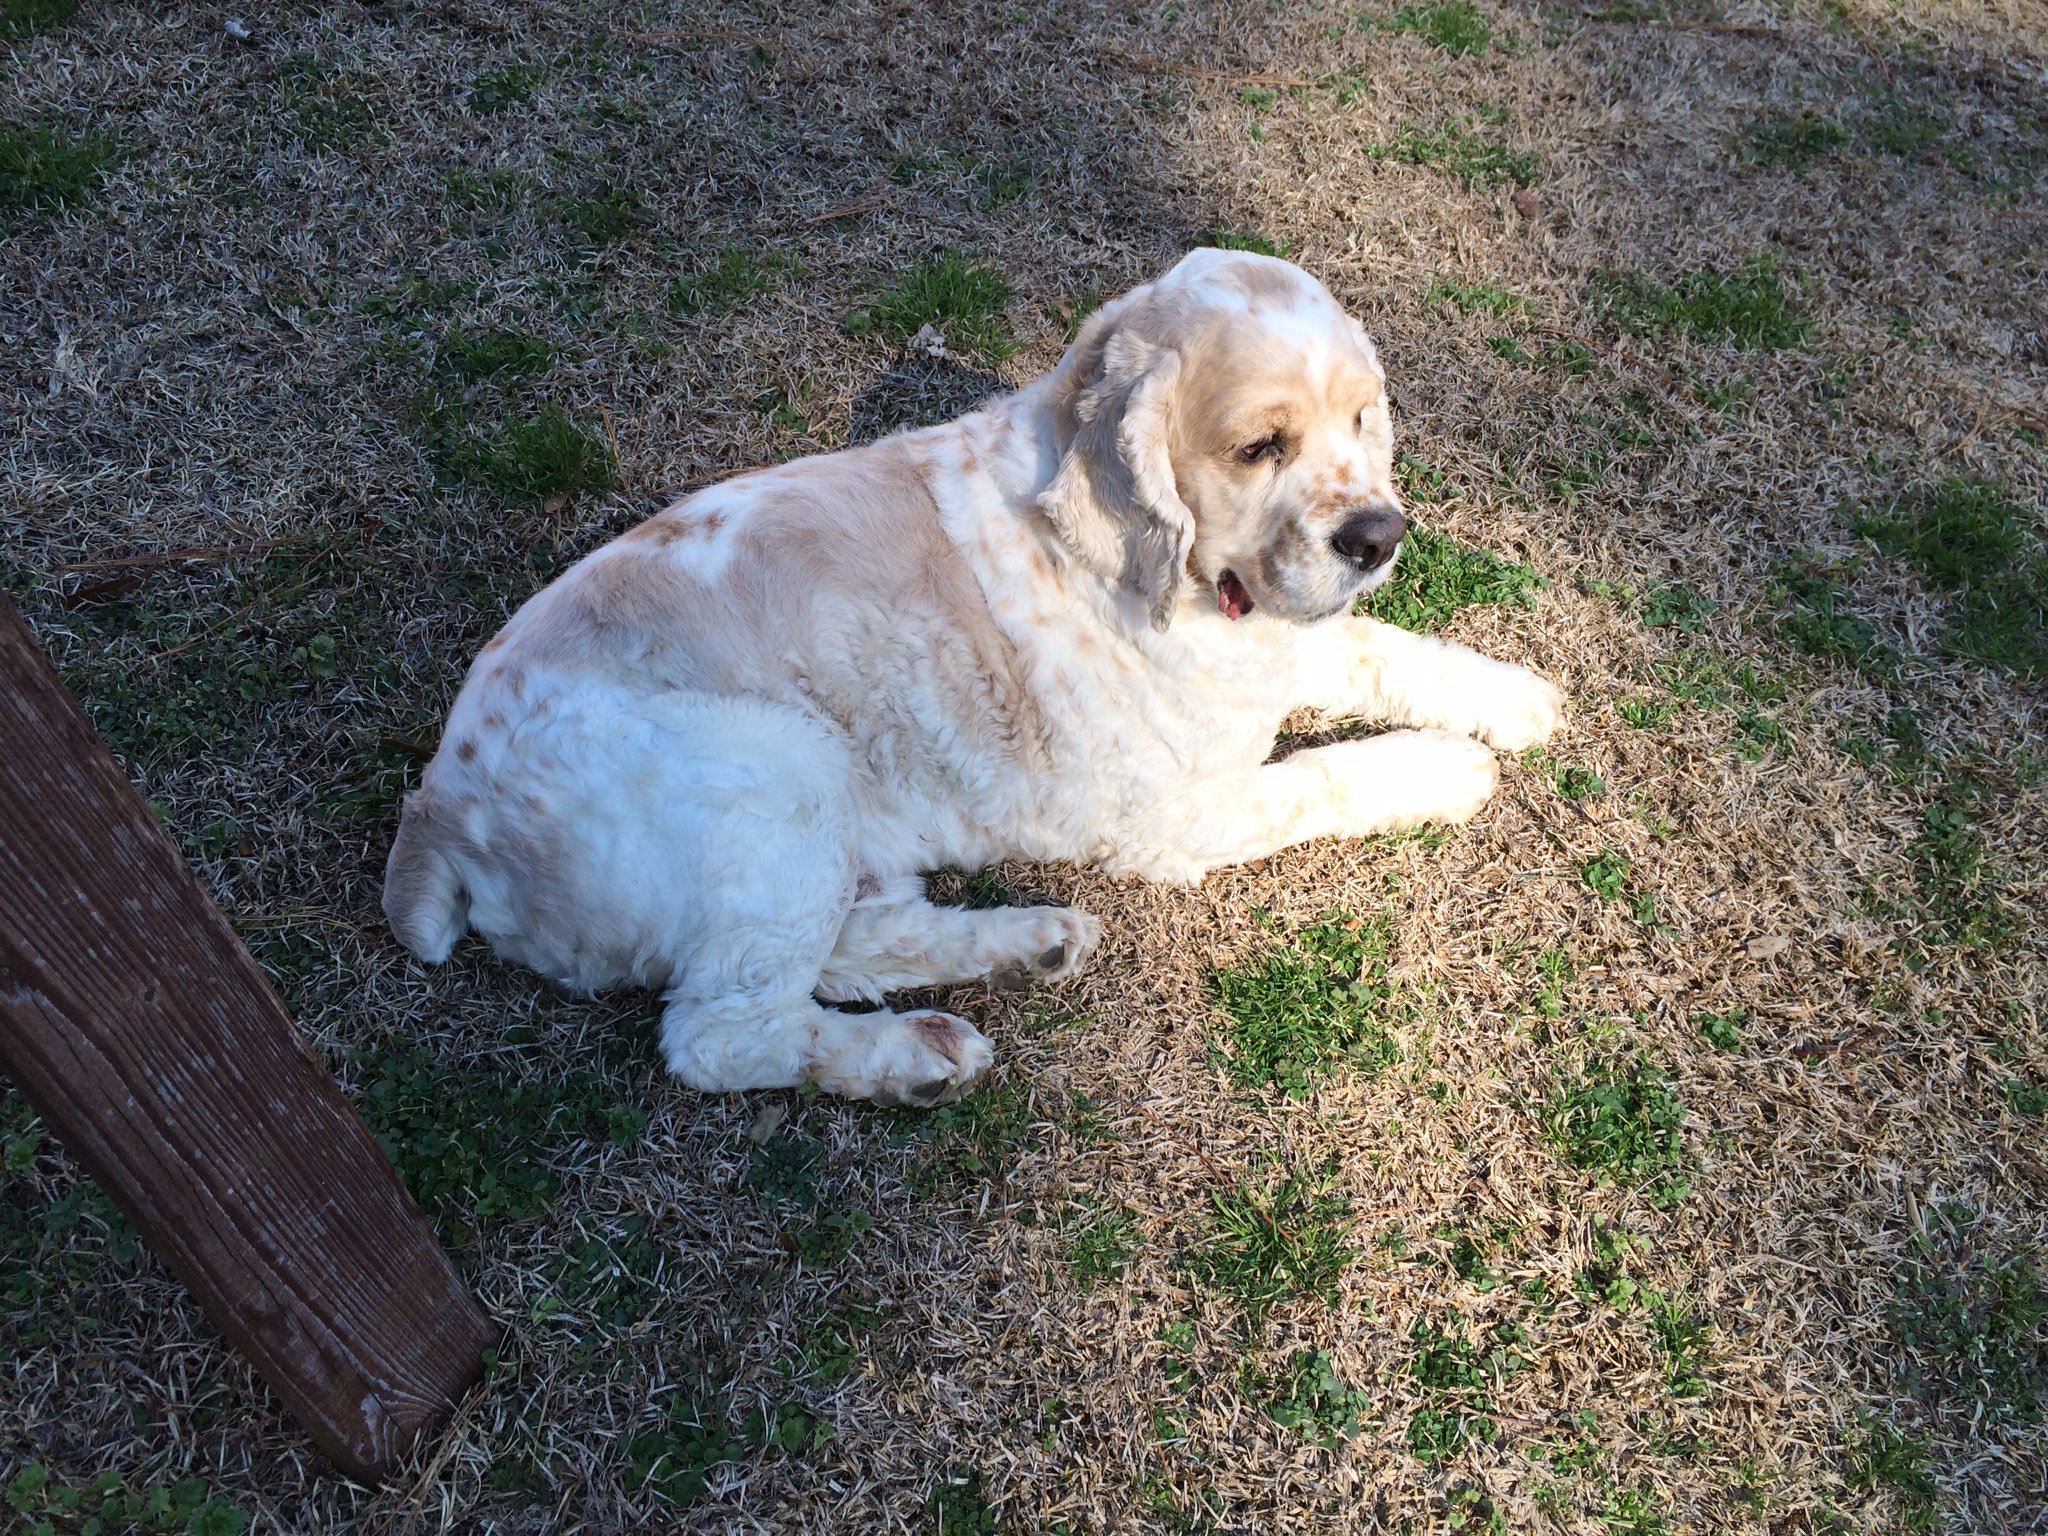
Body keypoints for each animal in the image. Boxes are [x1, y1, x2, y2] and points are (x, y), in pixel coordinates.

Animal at [385, 246, 1556, 1097]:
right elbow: (1322, 777)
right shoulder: (1177, 815)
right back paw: (916, 1057)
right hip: (773, 771)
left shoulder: (1284, 643)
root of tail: (438, 807)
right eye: (1258, 447)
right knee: (722, 1031)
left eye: (1363, 417)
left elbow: (1377, 647)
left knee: (837, 947)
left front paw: (1517, 698)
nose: (1377, 534)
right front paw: (1451, 768)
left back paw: (1031, 940)